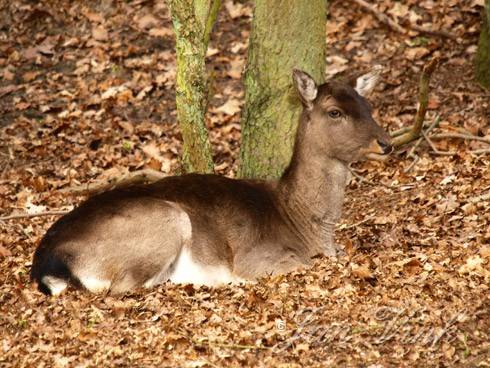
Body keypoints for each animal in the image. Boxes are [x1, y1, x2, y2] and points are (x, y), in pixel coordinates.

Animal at [30, 67, 392, 296]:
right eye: (334, 112)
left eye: (368, 105)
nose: (386, 143)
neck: (307, 226)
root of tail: (47, 263)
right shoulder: (257, 257)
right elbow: (297, 264)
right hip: (167, 219)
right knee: (123, 288)